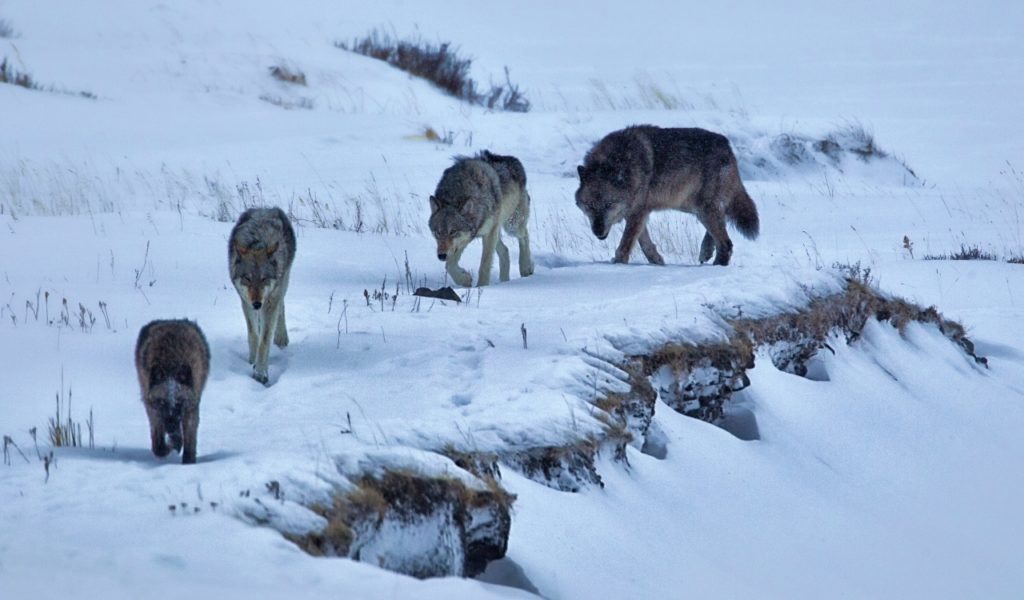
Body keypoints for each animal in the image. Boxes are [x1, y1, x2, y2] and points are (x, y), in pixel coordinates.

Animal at [134, 317, 209, 462]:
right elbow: (158, 447)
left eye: (179, 402)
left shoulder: (191, 407)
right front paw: (173, 445)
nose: (171, 429)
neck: (171, 363)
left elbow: (190, 441)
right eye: (162, 402)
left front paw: (188, 460)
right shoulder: (154, 409)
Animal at [228, 205, 296, 382]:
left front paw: (260, 372)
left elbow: (264, 340)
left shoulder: (270, 301)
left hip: (283, 282)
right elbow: (254, 334)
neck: (258, 242)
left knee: (281, 307)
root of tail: (265, 208)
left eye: (264, 278)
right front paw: (252, 361)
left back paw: (281, 338)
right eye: (247, 278)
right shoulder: (245, 301)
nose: (257, 303)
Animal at [428, 151, 536, 286]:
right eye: (437, 233)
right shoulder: (466, 238)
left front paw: (482, 287)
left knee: (524, 236)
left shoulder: (488, 234)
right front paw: (465, 279)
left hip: (511, 226)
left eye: (453, 232)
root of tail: (512, 159)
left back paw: (526, 267)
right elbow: (449, 266)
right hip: (498, 230)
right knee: (505, 250)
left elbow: (484, 265)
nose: (441, 255)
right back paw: (505, 282)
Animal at [577, 124, 761, 264]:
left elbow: (626, 243)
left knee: (726, 243)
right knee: (721, 226)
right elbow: (645, 243)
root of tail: (727, 144)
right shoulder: (639, 213)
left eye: (608, 205)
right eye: (590, 206)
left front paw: (618, 264)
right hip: (693, 207)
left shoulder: (638, 212)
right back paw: (706, 251)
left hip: (702, 209)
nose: (597, 231)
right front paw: (657, 261)